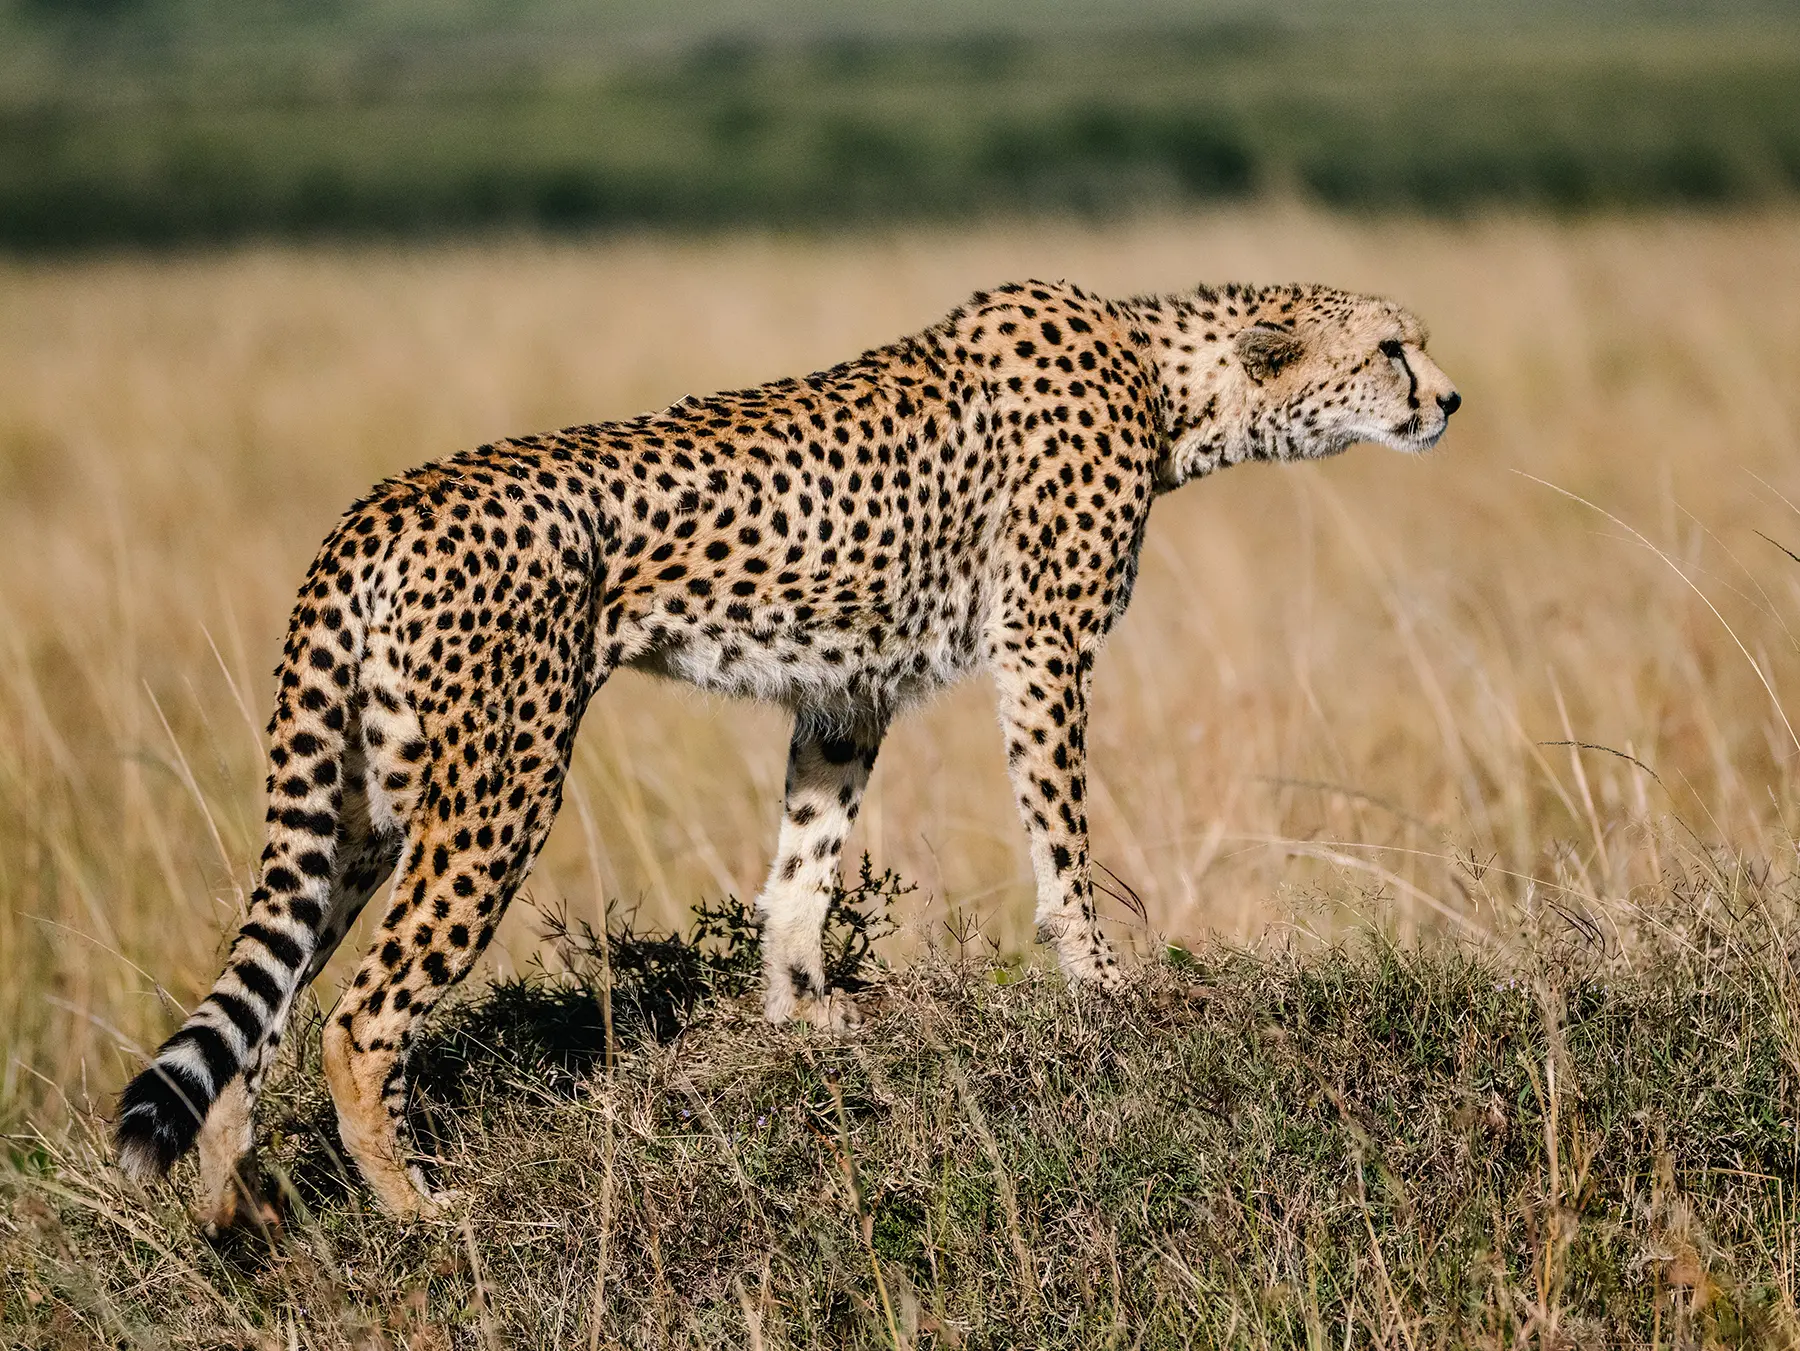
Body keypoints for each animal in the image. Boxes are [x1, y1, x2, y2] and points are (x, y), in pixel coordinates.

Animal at [115, 277, 1459, 1226]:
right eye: (1393, 347)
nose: (1449, 400)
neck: (1167, 379)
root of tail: (374, 504)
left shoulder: (845, 691)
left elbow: (803, 864)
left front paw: (798, 1012)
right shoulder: (1043, 648)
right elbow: (1062, 835)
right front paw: (1103, 984)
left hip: (364, 797)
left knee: (266, 994)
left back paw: (234, 1206)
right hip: (502, 780)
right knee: (359, 1012)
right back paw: (414, 1204)